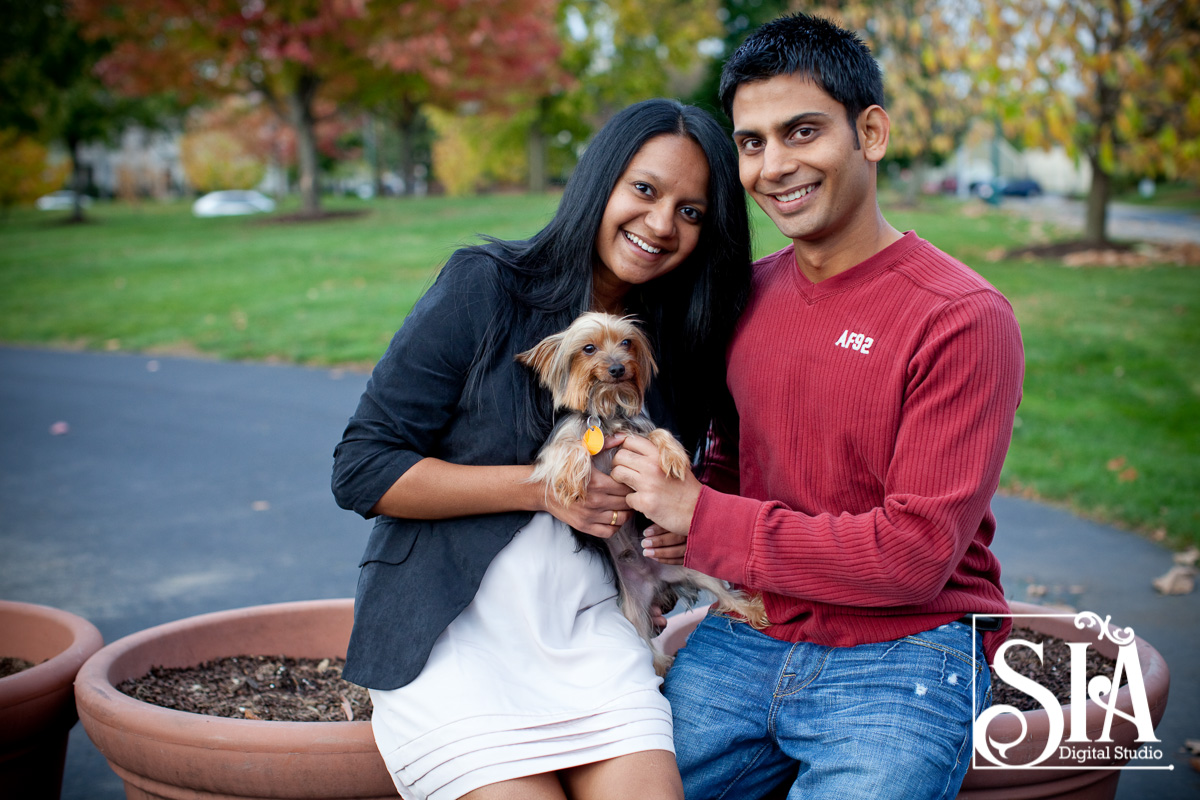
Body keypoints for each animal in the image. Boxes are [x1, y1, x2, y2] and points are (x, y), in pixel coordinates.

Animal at [518, 311, 768, 676]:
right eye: (588, 348)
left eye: (626, 343)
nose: (618, 368)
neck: (607, 413)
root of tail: (655, 583)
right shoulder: (557, 444)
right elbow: (568, 448)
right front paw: (572, 479)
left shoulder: (639, 429)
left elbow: (660, 433)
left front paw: (674, 458)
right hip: (632, 613)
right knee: (645, 642)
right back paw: (663, 663)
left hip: (692, 571)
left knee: (721, 594)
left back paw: (750, 610)